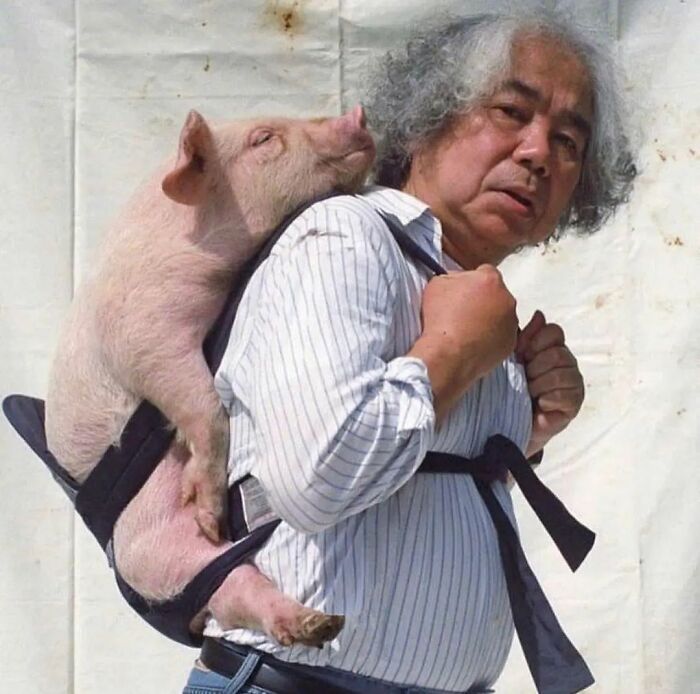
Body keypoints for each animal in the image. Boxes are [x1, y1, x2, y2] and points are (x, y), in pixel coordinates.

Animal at [45, 106, 375, 646]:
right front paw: (206, 505)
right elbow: (200, 404)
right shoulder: (145, 333)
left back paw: (321, 623)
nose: (356, 113)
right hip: (159, 552)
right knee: (225, 581)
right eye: (264, 139)